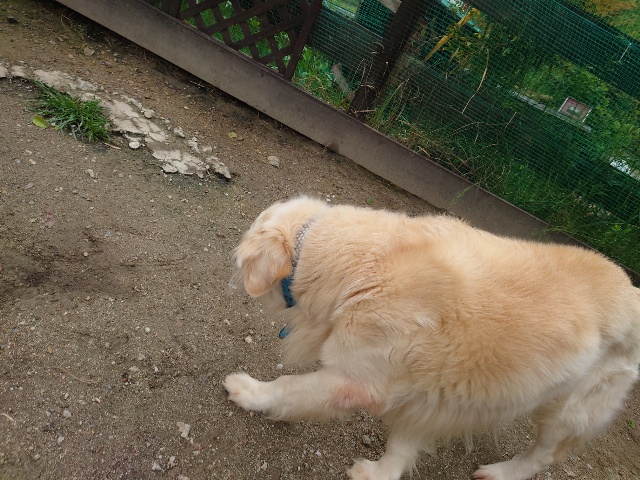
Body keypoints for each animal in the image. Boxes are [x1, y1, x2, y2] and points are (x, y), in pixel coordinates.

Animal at [224, 196, 640, 480]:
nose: (234, 275)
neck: (361, 266)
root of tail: (632, 291)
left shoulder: (356, 381)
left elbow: (287, 387)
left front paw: (249, 391)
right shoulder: (422, 390)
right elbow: (401, 448)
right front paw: (379, 473)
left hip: (569, 410)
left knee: (544, 455)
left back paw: (500, 472)